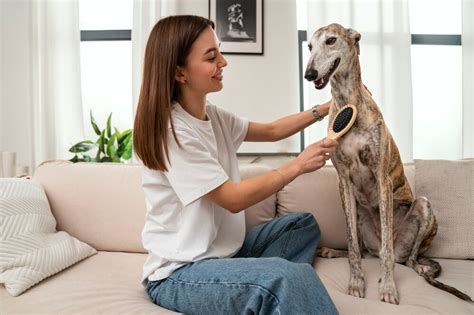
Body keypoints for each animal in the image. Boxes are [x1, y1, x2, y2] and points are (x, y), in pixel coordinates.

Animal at [306, 23, 472, 304]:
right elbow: (352, 245)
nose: (309, 73)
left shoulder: (381, 177)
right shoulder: (343, 183)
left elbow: (386, 254)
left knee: (403, 257)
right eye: (309, 46)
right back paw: (331, 251)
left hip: (423, 208)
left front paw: (387, 287)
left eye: (330, 40)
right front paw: (356, 282)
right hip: (359, 214)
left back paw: (417, 266)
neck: (348, 102)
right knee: (364, 249)